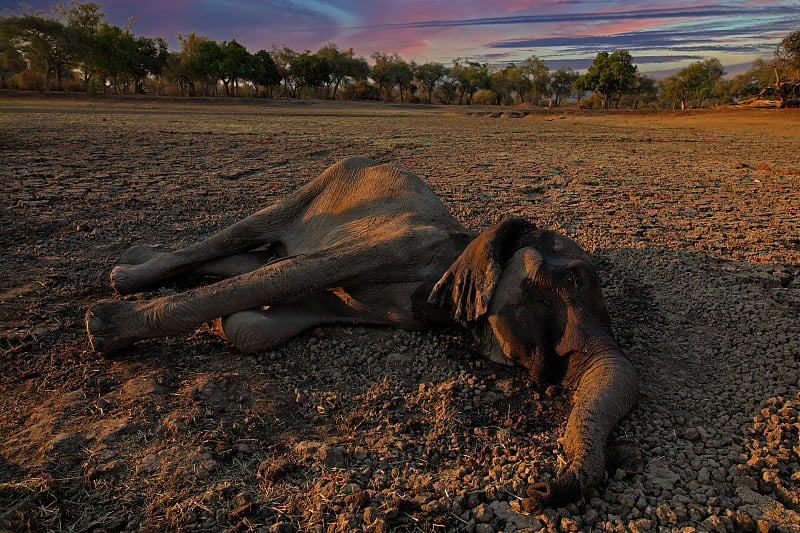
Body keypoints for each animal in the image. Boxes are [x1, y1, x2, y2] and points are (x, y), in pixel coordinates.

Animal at [86, 155, 636, 508]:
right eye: (573, 279)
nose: (540, 490)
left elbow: (255, 324)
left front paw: (228, 326)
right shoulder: (398, 243)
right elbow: (290, 275)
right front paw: (104, 329)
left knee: (258, 256)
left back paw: (135, 261)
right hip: (319, 184)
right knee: (245, 237)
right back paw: (125, 277)